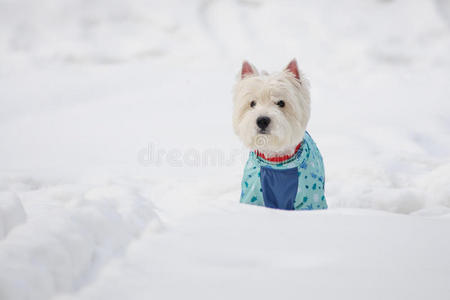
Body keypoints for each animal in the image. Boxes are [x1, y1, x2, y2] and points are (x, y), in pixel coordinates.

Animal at [232, 59, 326, 211]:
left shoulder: (310, 200)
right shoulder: (253, 195)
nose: (262, 120)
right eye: (252, 103)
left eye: (281, 103)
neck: (277, 163)